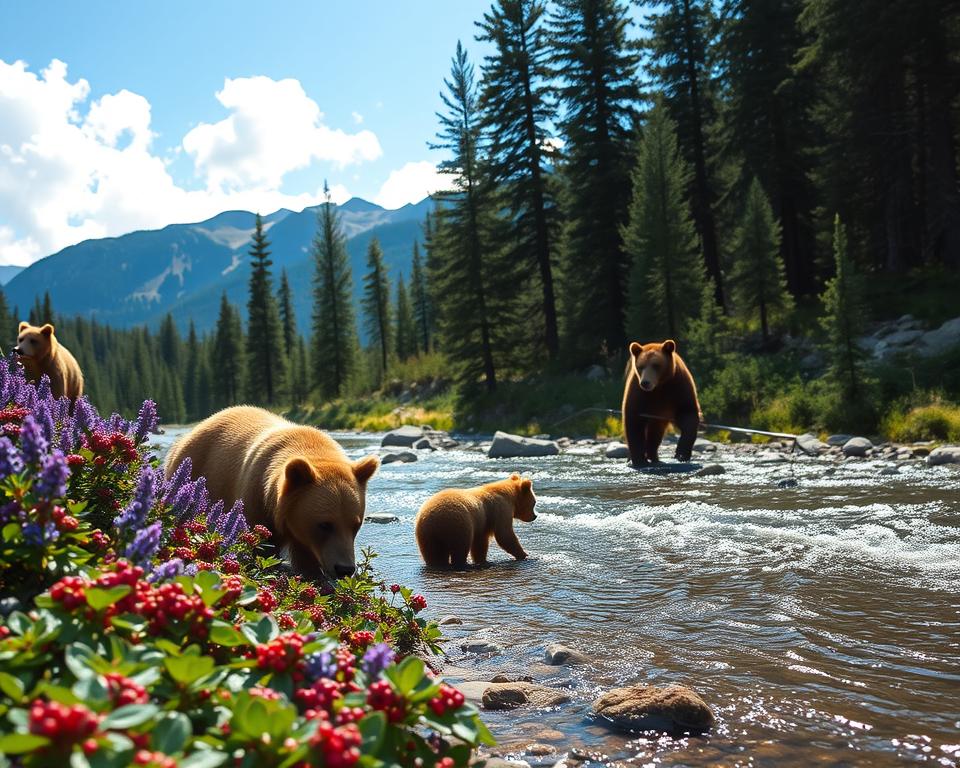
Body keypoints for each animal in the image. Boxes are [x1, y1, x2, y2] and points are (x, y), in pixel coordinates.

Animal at [164, 405, 379, 581]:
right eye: (325, 524)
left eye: (356, 524)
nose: (345, 569)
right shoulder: (257, 497)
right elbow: (260, 547)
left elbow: (307, 562)